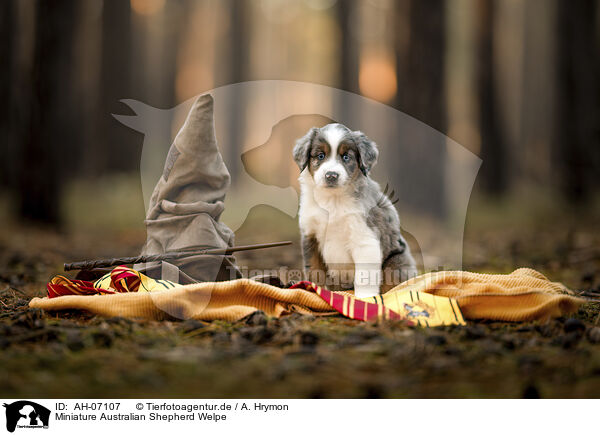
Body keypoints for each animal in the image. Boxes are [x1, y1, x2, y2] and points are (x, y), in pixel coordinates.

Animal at [292, 124, 414, 298]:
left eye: (346, 157)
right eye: (320, 155)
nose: (331, 175)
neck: (332, 201)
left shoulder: (365, 239)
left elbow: (364, 276)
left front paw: (365, 298)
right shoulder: (311, 237)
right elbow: (315, 271)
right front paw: (314, 290)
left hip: (395, 263)